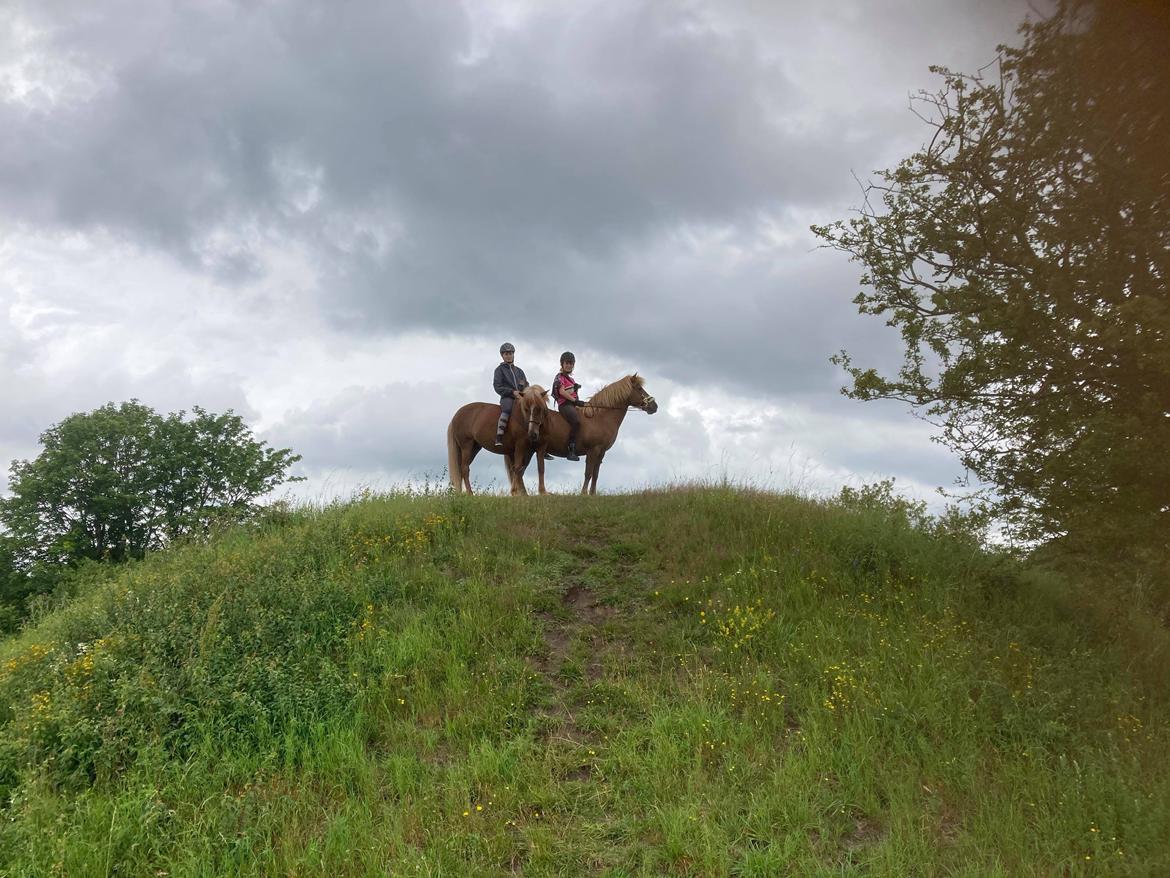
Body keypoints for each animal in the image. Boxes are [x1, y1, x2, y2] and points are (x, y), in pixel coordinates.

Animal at [521, 372, 659, 496]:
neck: (600, 418)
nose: (654, 406)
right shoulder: (593, 450)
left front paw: (593, 494)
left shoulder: (601, 452)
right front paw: (583, 494)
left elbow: (596, 474)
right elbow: (588, 473)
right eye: (639, 388)